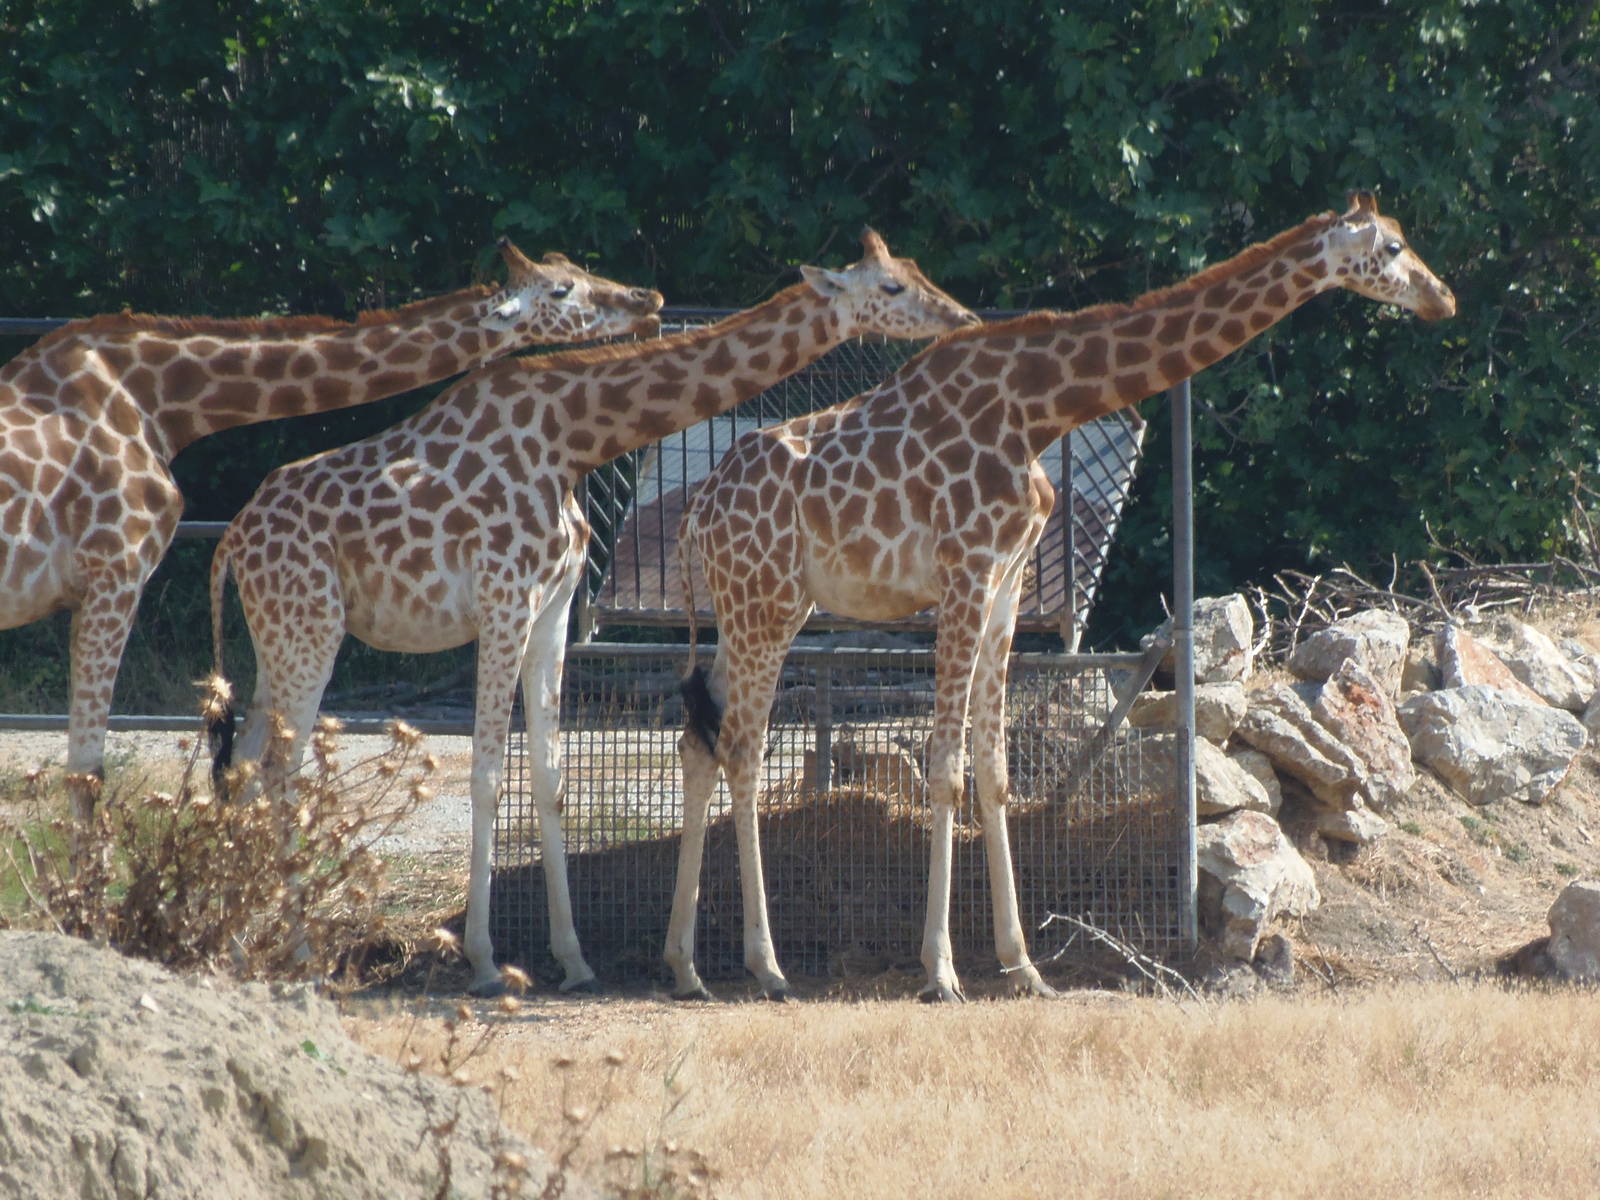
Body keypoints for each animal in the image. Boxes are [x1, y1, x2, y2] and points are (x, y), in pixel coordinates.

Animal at [0, 239, 663, 843]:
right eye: (563, 288)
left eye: (577, 269)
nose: (646, 299)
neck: (161, 401)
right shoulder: (114, 574)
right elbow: (89, 773)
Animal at [206, 229, 978, 996]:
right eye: (891, 286)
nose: (962, 318)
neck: (571, 441)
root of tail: (230, 542)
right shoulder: (503, 598)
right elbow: (489, 770)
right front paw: (485, 960)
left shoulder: (550, 607)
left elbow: (549, 775)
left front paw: (574, 960)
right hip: (311, 626)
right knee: (282, 767)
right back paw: (298, 950)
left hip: (279, 636)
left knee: (244, 761)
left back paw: (237, 942)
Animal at [667, 191, 1457, 1003]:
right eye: (1392, 247)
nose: (1443, 298)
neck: (1042, 409)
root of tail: (698, 513)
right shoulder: (965, 572)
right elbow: (945, 770)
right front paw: (942, 970)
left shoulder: (1006, 584)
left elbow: (994, 771)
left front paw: (1022, 965)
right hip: (766, 600)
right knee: (742, 747)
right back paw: (766, 964)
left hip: (753, 606)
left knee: (698, 736)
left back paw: (686, 966)